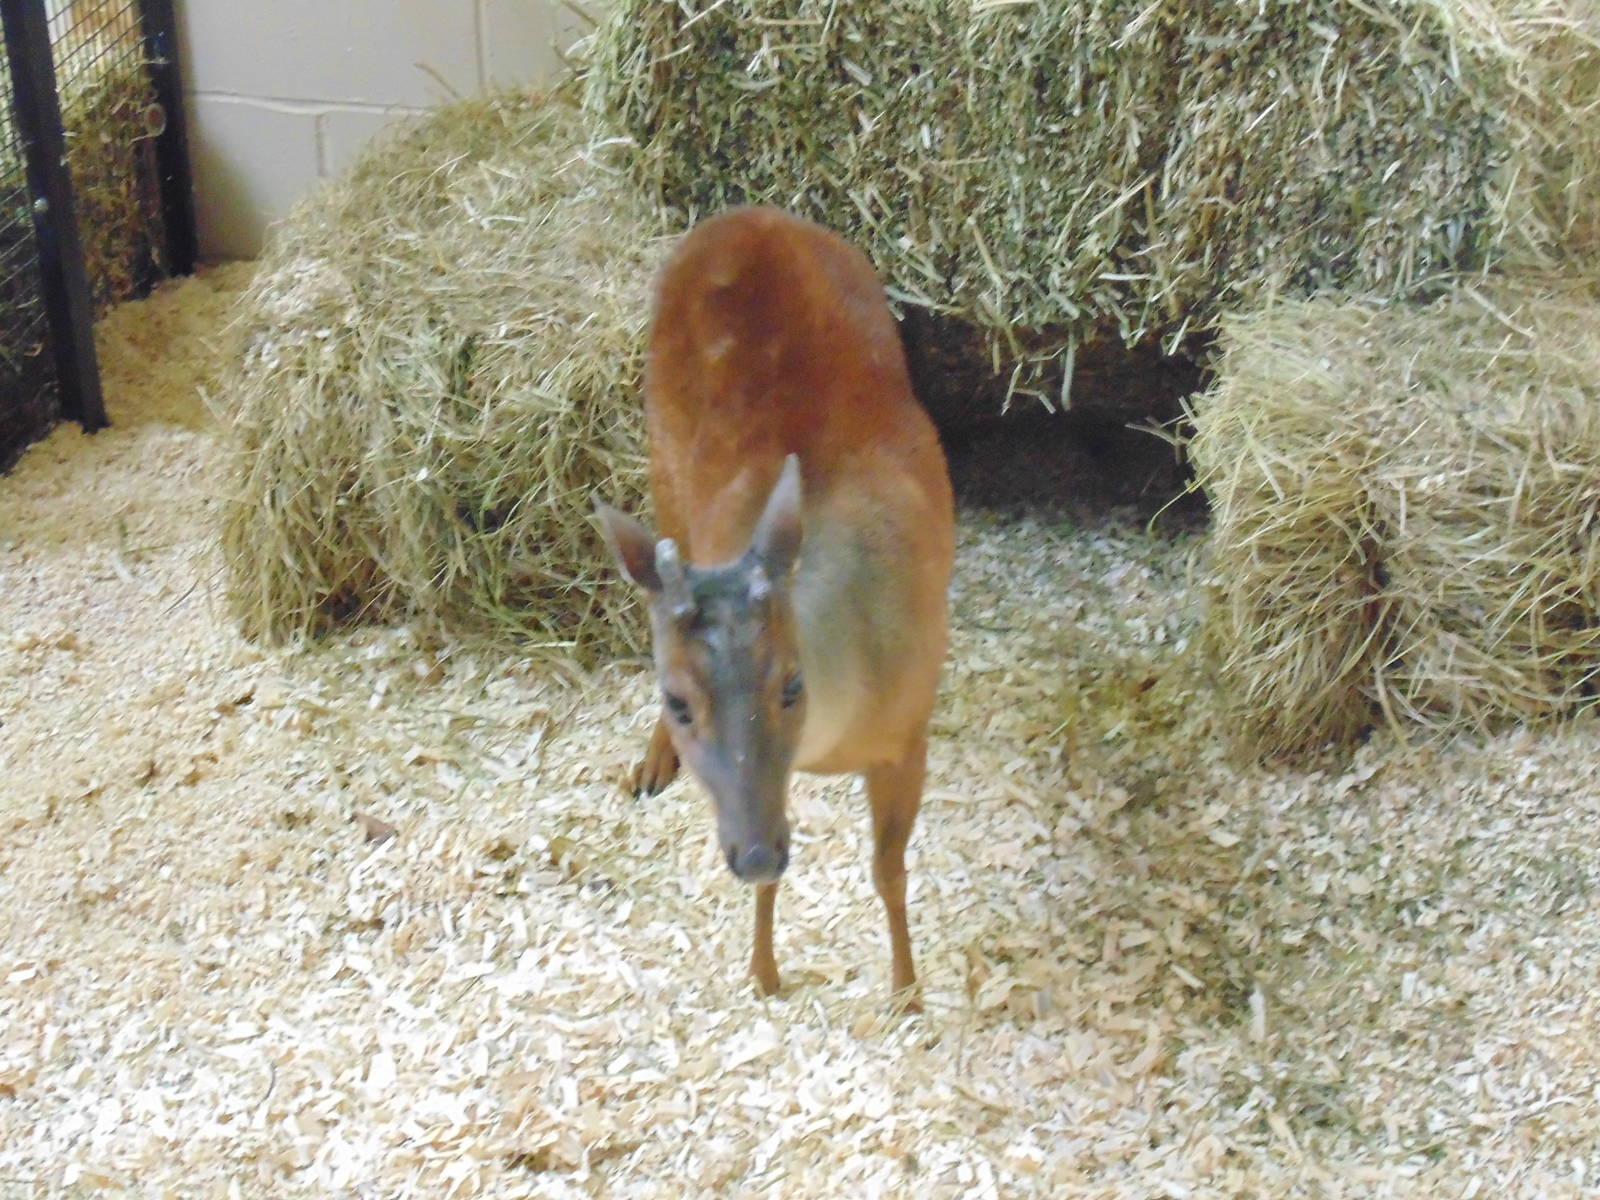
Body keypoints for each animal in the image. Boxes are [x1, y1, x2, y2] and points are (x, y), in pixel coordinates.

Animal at [594, 206, 954, 1008]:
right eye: (676, 699)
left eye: (792, 683)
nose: (754, 854)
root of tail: (746, 217)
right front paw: (763, 973)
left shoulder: (910, 729)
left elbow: (890, 871)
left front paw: (907, 991)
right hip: (659, 444)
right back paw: (649, 768)